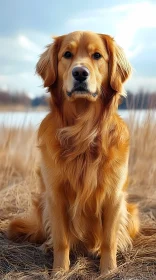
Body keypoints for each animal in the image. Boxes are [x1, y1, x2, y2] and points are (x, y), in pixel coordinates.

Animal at [7, 31, 140, 276]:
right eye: (67, 54)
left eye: (97, 55)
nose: (79, 73)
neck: (82, 132)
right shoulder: (55, 195)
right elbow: (62, 239)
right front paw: (60, 271)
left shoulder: (114, 197)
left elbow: (109, 240)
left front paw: (108, 270)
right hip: (42, 203)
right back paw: (47, 246)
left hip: (131, 211)